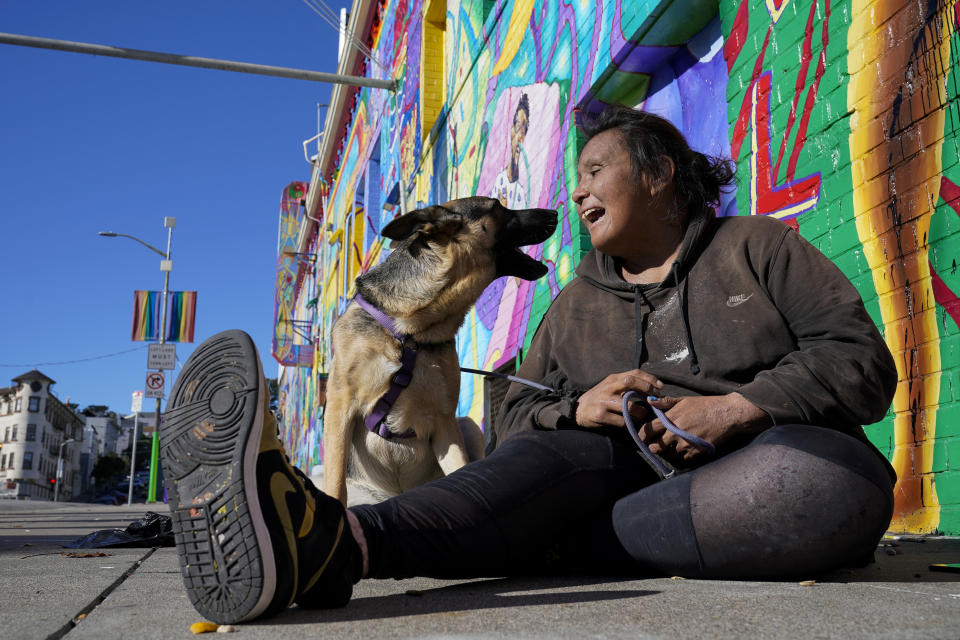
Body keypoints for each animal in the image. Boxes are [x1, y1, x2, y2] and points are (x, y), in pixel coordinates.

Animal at [324, 195, 556, 504]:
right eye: (497, 206)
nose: (554, 213)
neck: (410, 332)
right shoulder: (340, 406)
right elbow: (335, 483)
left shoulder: (444, 421)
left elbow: (461, 468)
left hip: (467, 425)